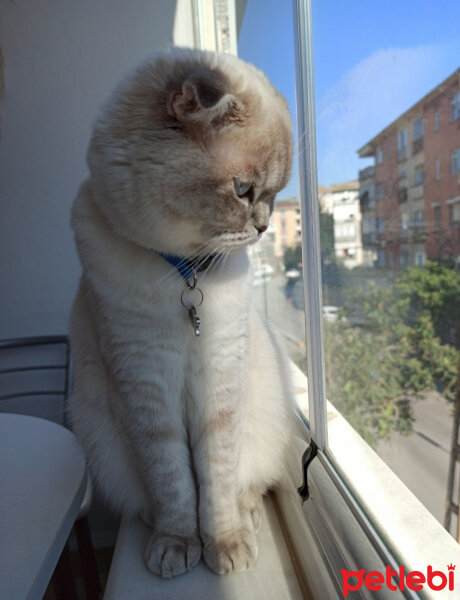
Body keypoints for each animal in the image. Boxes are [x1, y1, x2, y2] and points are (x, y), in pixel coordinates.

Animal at [69, 47, 292, 576]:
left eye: (273, 195)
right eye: (243, 190)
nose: (264, 226)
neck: (185, 273)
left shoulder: (220, 382)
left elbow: (216, 478)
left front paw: (224, 547)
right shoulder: (143, 379)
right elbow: (172, 480)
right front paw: (177, 545)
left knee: (249, 486)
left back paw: (248, 524)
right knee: (152, 497)